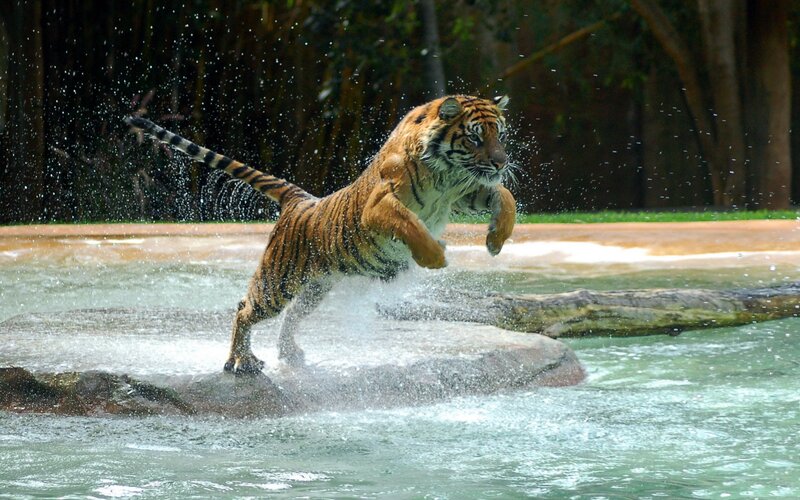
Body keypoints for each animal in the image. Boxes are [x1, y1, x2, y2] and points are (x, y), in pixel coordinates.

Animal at [125, 94, 516, 374]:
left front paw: (495, 240)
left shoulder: (466, 191)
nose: (501, 162)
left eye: (499, 134)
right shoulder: (380, 205)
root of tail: (300, 200)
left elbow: (505, 197)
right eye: (475, 137)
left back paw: (290, 355)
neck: (446, 174)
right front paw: (436, 256)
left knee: (291, 317)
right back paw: (242, 363)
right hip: (277, 281)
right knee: (244, 309)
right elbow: (411, 225)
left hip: (316, 287)